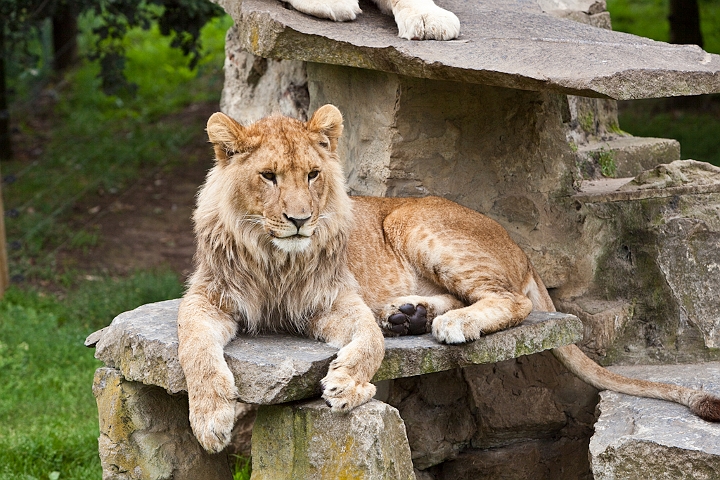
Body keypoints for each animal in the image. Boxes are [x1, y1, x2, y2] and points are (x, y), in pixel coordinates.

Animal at [177, 104, 720, 453]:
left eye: (312, 174)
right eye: (268, 176)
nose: (299, 219)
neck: (276, 260)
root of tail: (520, 246)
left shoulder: (338, 301)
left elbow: (368, 344)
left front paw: (348, 385)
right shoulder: (205, 298)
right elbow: (194, 350)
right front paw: (210, 418)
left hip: (415, 223)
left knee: (513, 301)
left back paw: (447, 323)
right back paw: (408, 315)